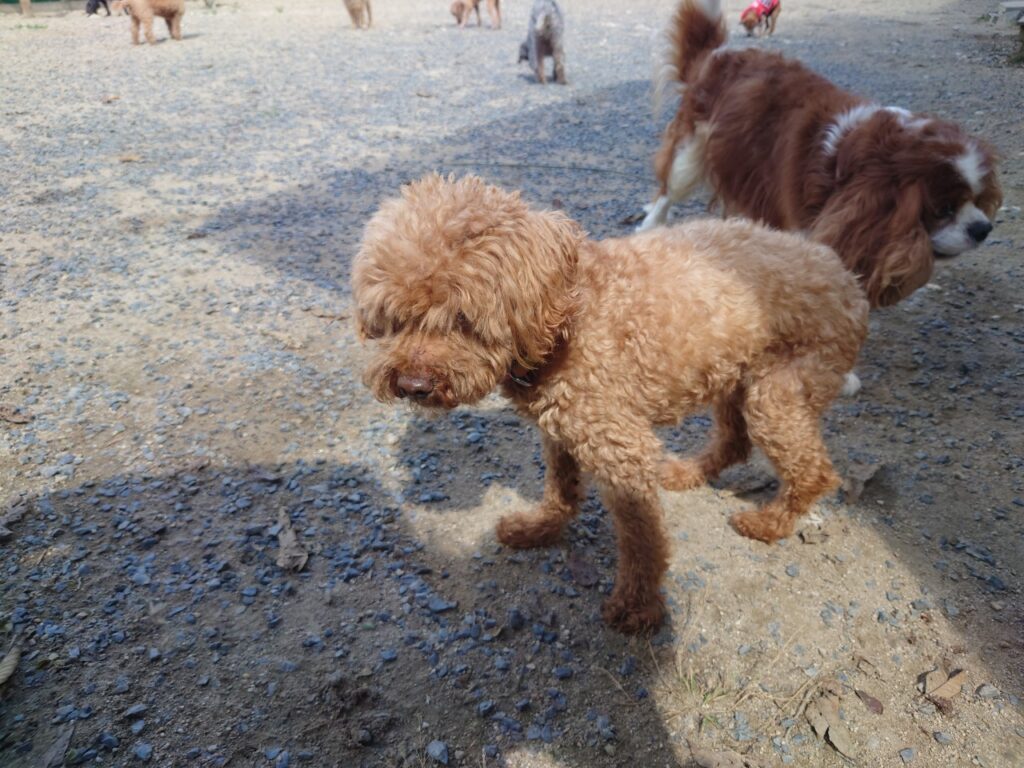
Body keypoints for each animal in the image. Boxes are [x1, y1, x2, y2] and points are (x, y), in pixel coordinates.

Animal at [353, 174, 869, 633]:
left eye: (462, 318)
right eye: (394, 317)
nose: (414, 384)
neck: (564, 322)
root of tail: (847, 278)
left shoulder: (620, 449)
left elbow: (641, 539)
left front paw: (637, 608)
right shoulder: (560, 429)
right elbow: (560, 488)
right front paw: (540, 528)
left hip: (778, 392)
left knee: (814, 472)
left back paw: (769, 522)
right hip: (735, 376)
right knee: (735, 441)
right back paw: (687, 472)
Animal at [639, 0, 1002, 308]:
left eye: (977, 199)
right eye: (943, 209)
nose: (983, 228)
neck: (848, 166)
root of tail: (716, 54)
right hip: (689, 154)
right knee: (666, 192)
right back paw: (650, 226)